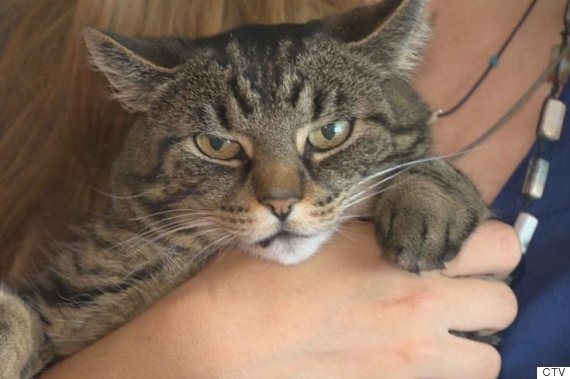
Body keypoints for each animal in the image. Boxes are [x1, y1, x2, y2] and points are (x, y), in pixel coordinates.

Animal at [1, 0, 488, 378]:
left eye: (330, 132)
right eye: (216, 145)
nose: (281, 202)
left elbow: (426, 167)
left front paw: (427, 202)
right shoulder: (62, 298)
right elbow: (19, 315)